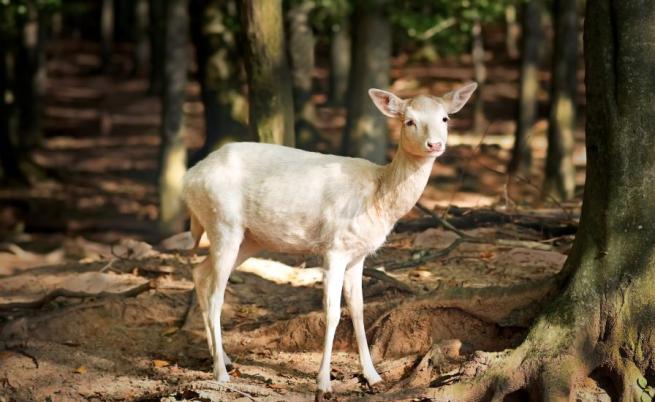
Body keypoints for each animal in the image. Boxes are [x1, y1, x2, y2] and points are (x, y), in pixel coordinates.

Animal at [182, 82, 480, 398]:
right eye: (409, 121)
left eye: (445, 118)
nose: (435, 144)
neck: (378, 196)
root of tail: (189, 178)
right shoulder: (334, 247)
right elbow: (333, 312)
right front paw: (324, 383)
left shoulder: (359, 253)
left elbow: (358, 310)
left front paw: (373, 377)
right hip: (223, 222)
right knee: (216, 294)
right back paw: (221, 373)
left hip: (250, 238)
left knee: (200, 272)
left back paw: (223, 357)